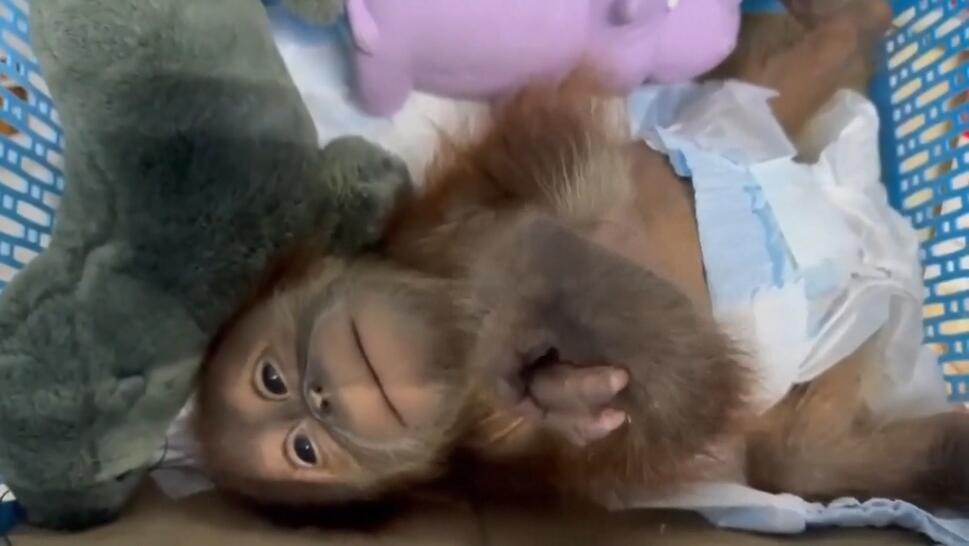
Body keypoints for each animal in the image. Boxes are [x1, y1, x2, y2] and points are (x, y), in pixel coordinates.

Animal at [193, 0, 969, 515]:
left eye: (270, 379)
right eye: (303, 451)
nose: (318, 395)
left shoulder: (441, 219)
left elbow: (533, 206)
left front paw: (515, 291)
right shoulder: (516, 451)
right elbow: (670, 399)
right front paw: (561, 385)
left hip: (741, 113)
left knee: (810, 54)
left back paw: (845, 15)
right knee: (798, 458)